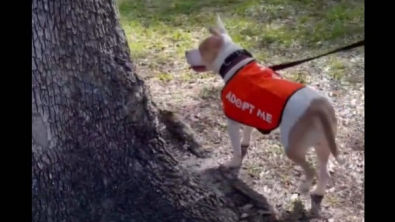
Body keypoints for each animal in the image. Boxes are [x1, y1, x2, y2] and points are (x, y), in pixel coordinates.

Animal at [184, 16, 344, 198]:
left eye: (201, 49)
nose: (186, 52)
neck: (235, 63)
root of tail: (318, 107)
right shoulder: (249, 112)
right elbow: (247, 133)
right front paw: (245, 143)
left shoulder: (231, 122)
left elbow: (236, 148)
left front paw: (233, 163)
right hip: (322, 146)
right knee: (324, 172)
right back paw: (318, 192)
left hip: (292, 148)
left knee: (311, 171)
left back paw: (304, 188)